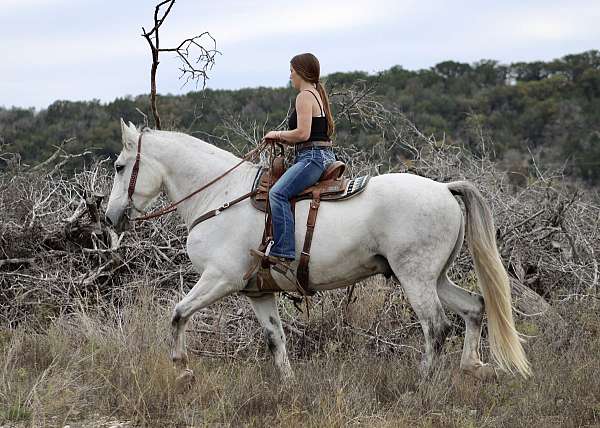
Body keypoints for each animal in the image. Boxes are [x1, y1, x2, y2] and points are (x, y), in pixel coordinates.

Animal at [106, 119, 528, 382]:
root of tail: (443, 187)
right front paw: (288, 384)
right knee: (474, 307)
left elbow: (178, 313)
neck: (219, 197)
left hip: (416, 278)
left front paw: (182, 368)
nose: (111, 217)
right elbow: (276, 338)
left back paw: (424, 381)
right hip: (435, 277)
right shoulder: (258, 292)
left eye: (120, 166)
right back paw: (473, 367)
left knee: (436, 327)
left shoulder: (219, 279)